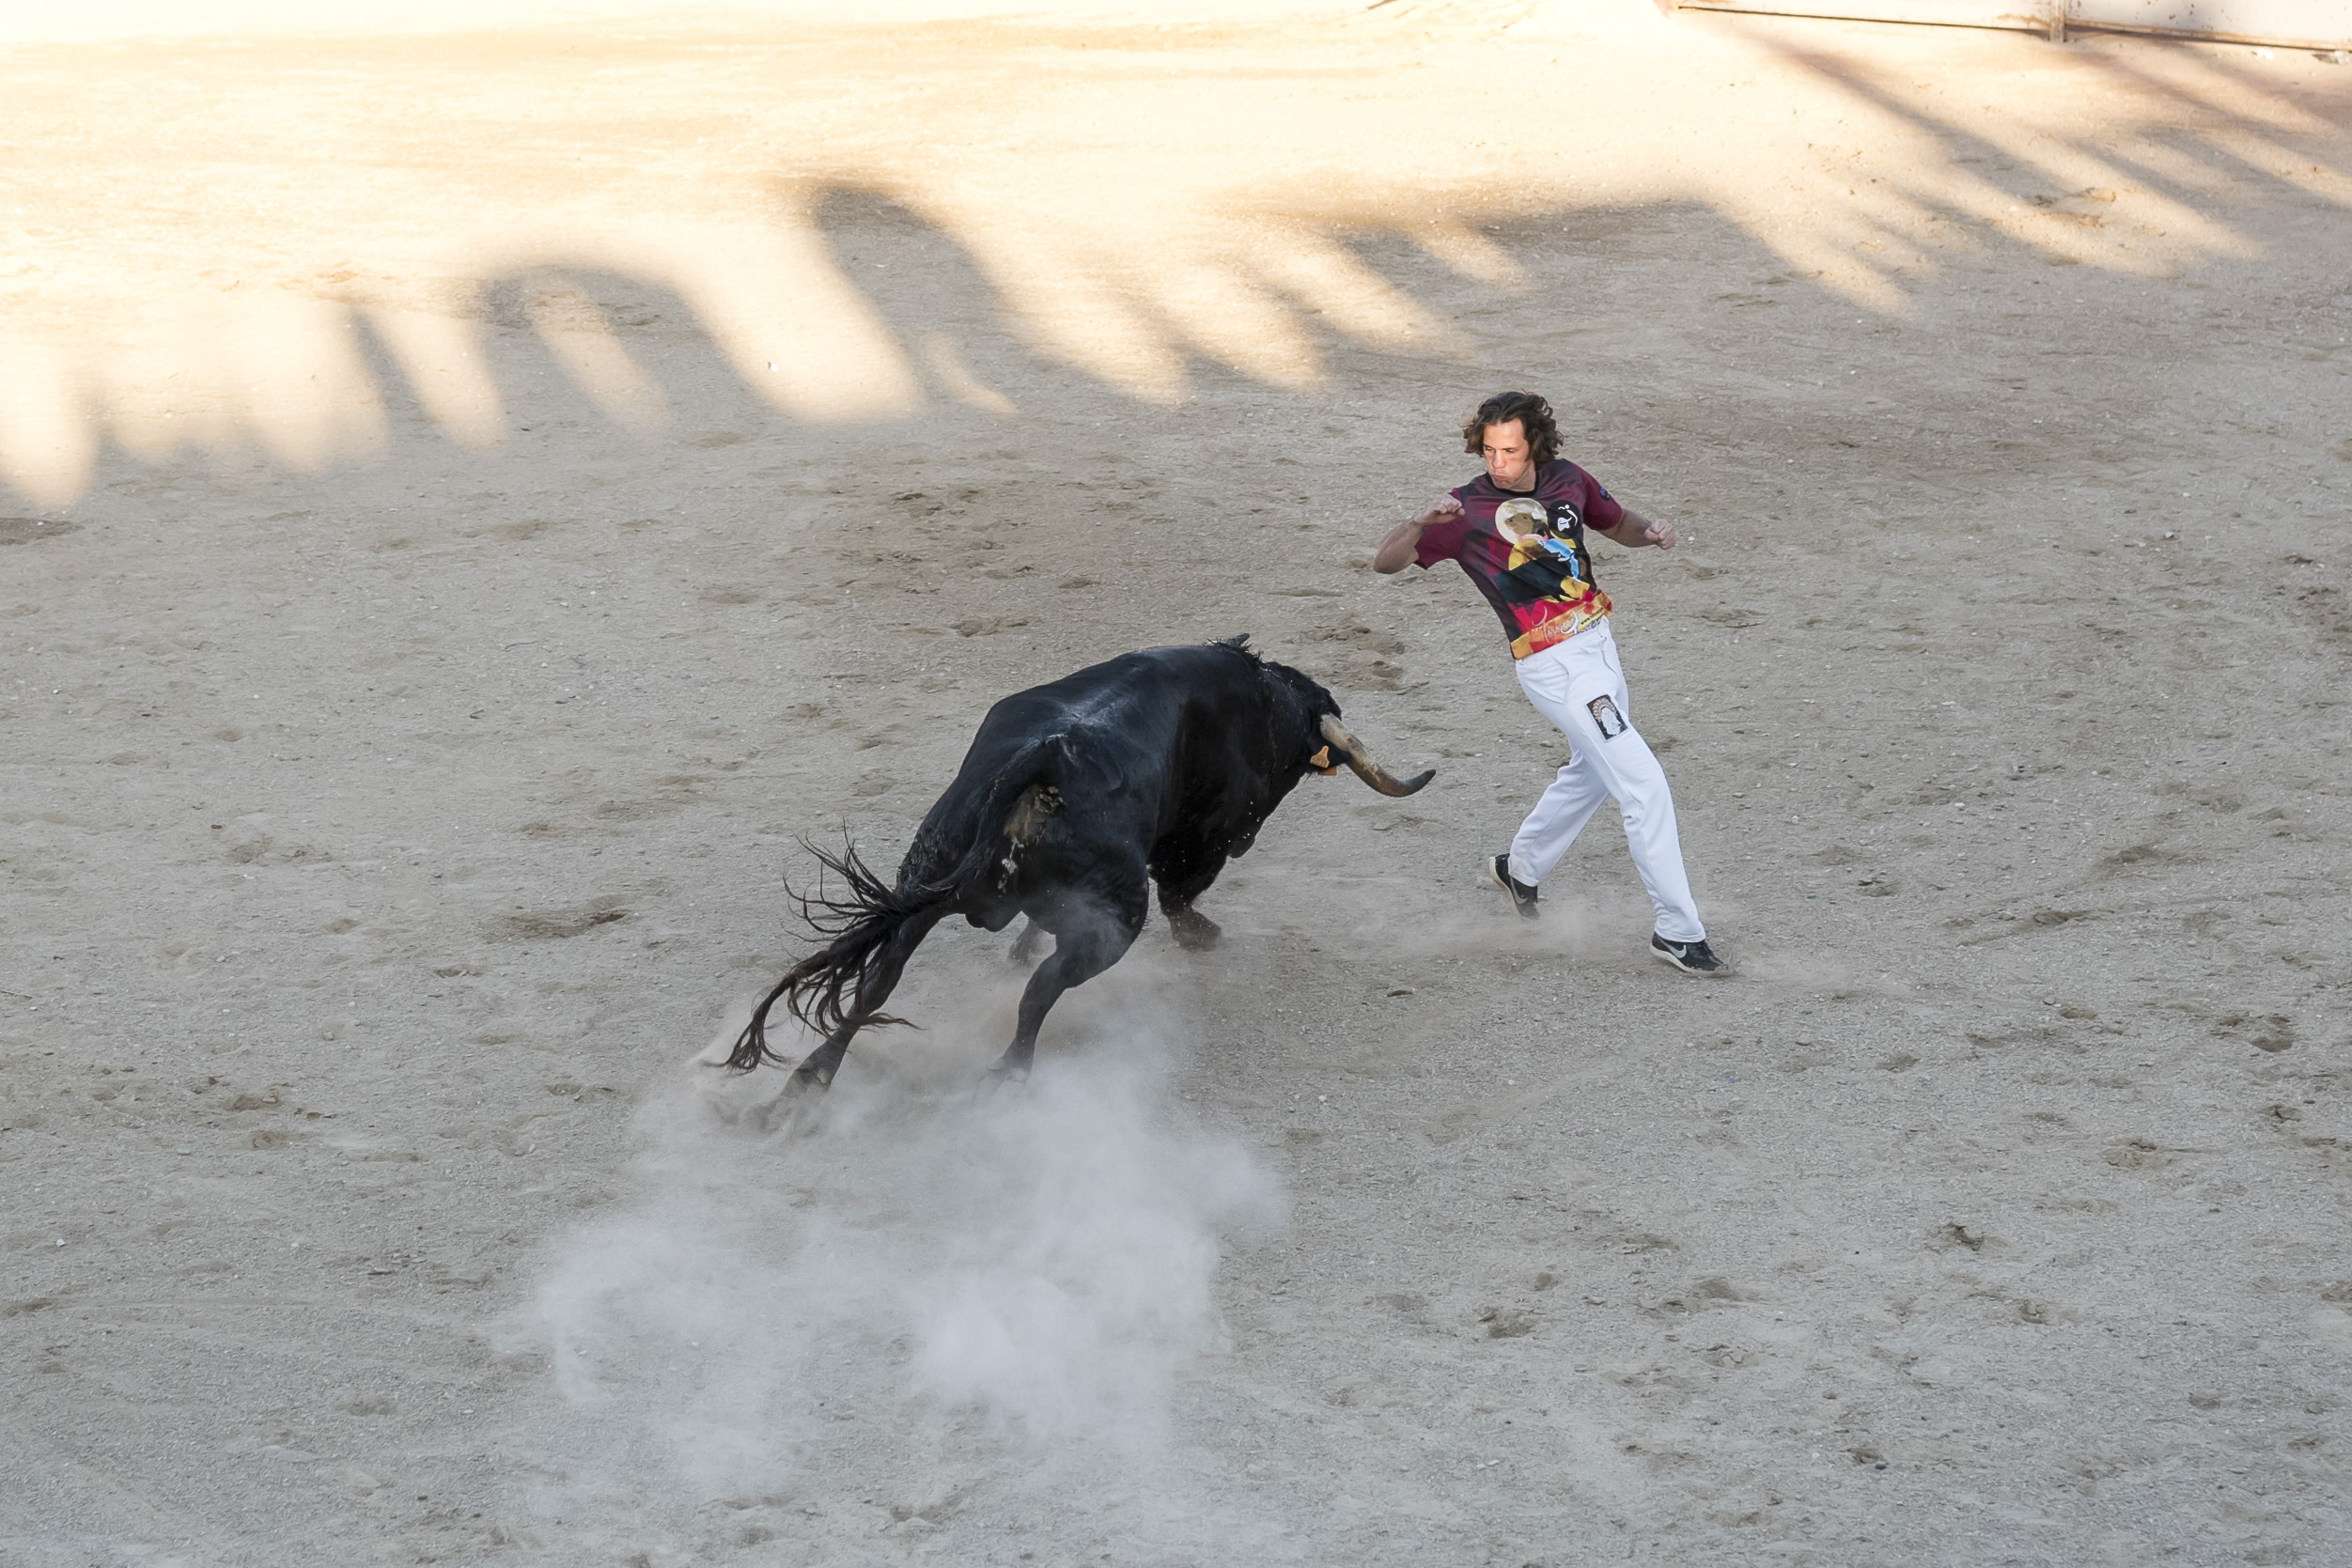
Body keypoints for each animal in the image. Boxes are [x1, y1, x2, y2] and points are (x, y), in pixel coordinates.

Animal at [724, 629, 1429, 1086]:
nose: (1246, 840)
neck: (1260, 696)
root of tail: (1043, 760)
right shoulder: (1198, 839)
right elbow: (1180, 891)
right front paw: (1202, 934)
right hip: (1112, 924)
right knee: (1041, 991)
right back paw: (1010, 1072)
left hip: (924, 873)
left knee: (877, 980)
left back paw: (806, 1086)